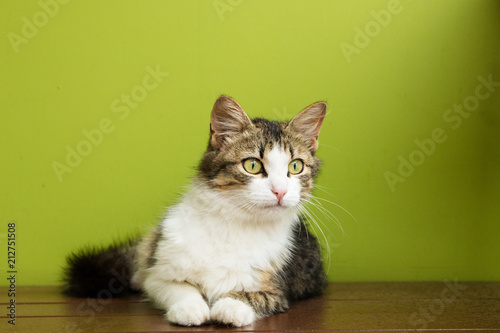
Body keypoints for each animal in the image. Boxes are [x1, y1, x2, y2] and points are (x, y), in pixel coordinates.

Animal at [62, 94, 328, 326]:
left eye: (295, 166)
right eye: (252, 165)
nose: (280, 191)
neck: (234, 222)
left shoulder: (279, 289)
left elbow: (252, 295)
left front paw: (229, 307)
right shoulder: (159, 274)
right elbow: (180, 288)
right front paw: (190, 308)